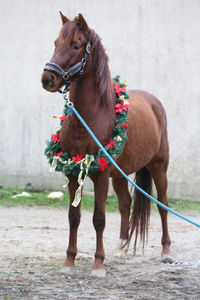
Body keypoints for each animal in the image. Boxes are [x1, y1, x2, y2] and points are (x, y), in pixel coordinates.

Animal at [41, 12, 172, 278]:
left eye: (76, 46)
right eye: (55, 43)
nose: (47, 78)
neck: (89, 117)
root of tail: (154, 103)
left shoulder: (100, 174)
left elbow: (99, 219)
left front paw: (98, 265)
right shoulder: (73, 173)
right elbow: (73, 216)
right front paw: (69, 261)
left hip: (158, 167)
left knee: (162, 204)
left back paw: (166, 251)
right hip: (121, 174)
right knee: (125, 205)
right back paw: (121, 249)